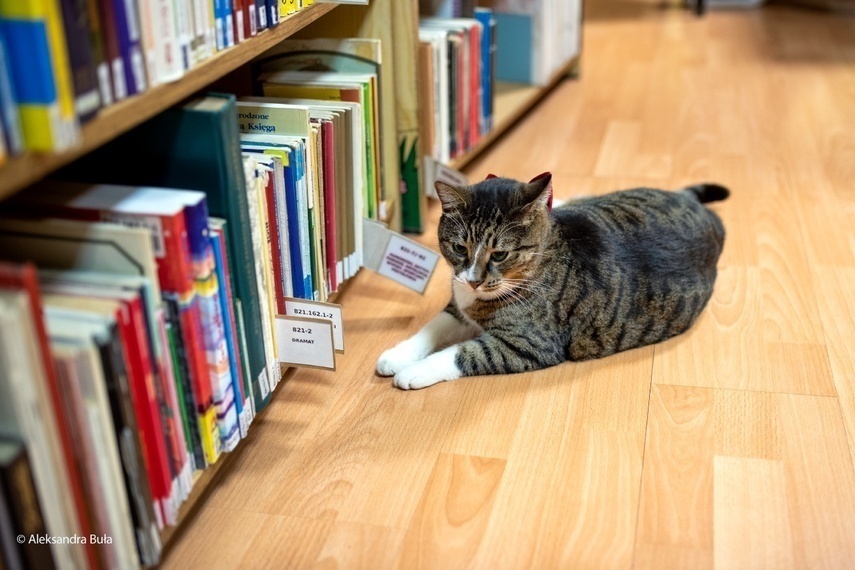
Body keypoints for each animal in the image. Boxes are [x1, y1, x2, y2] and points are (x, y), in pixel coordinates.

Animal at [376, 171, 728, 388]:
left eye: (500, 254)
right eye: (459, 248)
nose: (473, 281)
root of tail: (697, 207)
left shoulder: (530, 344)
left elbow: (462, 353)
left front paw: (414, 371)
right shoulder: (459, 306)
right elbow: (432, 327)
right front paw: (397, 356)